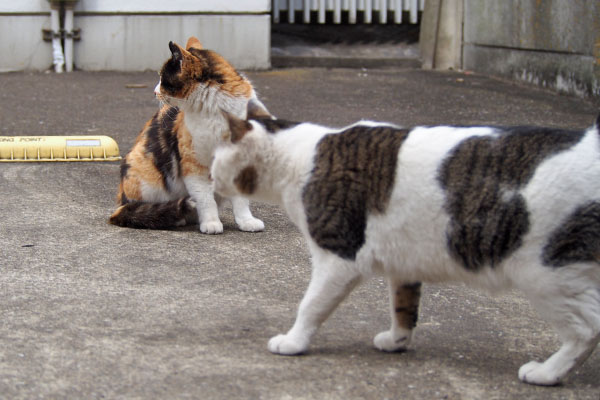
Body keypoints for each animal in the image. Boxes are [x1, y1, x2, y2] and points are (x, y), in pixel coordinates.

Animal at [109, 36, 268, 234]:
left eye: (162, 77)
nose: (154, 91)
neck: (216, 111)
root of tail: (120, 201)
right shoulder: (193, 163)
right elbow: (205, 199)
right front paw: (211, 223)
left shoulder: (239, 160)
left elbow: (240, 200)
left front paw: (247, 221)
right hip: (145, 174)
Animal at [210, 107, 600, 388]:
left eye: (214, 162)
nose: (210, 181)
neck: (298, 158)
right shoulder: (404, 266)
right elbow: (404, 308)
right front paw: (397, 341)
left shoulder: (338, 258)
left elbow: (311, 306)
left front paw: (293, 342)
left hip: (545, 274)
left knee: (586, 331)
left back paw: (547, 373)